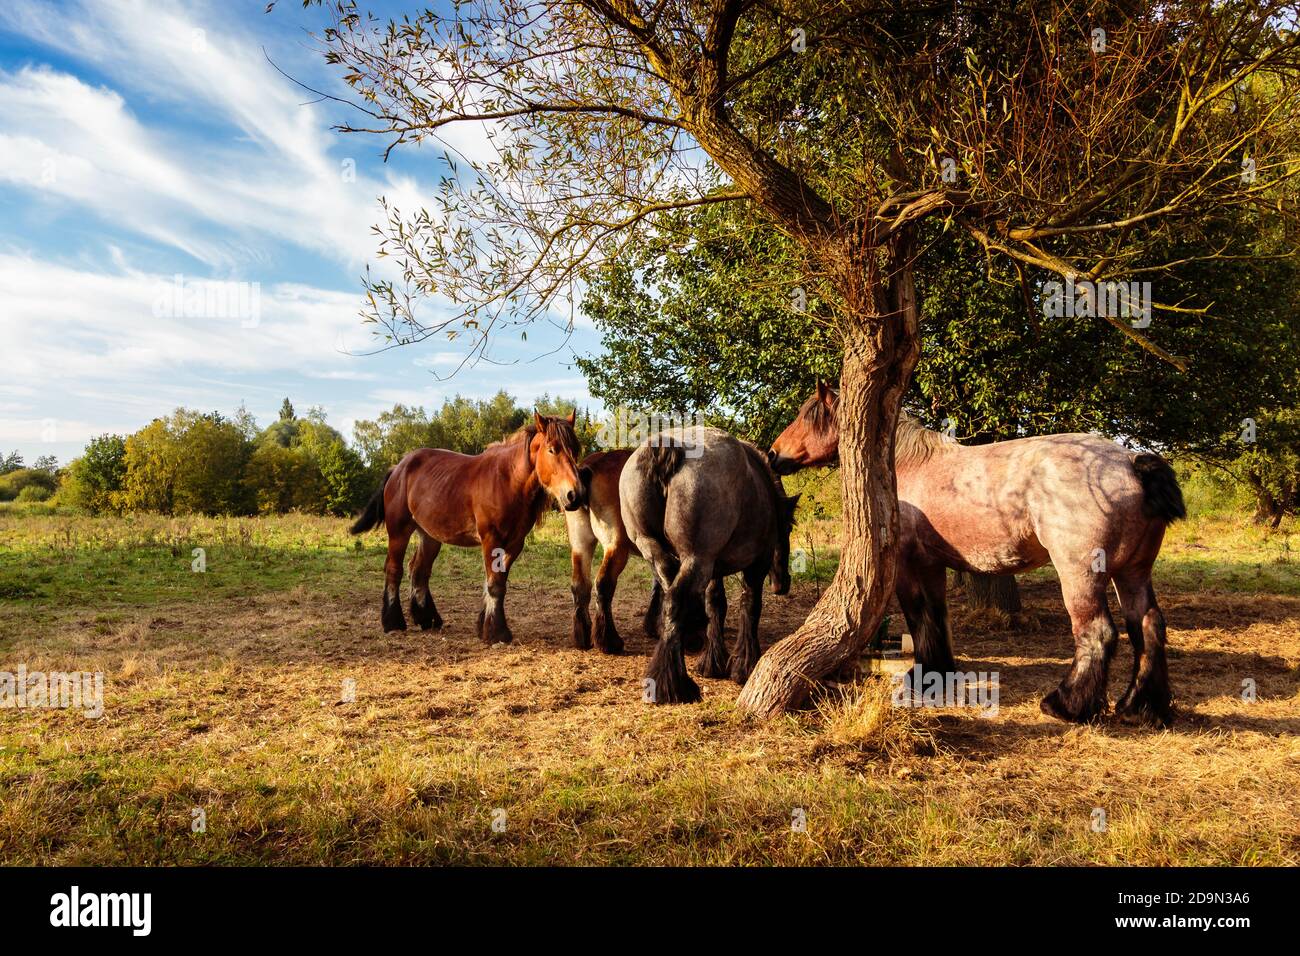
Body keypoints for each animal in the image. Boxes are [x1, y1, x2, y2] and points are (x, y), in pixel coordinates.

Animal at [348, 411, 587, 642]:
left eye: (575, 449)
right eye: (552, 449)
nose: (575, 495)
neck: (507, 481)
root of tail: (398, 468)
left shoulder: (514, 544)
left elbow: (497, 581)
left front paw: (484, 626)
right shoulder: (491, 539)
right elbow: (494, 584)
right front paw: (497, 632)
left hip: (429, 536)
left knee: (419, 570)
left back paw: (428, 619)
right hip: (399, 531)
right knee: (393, 569)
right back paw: (393, 622)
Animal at [616, 429, 790, 707]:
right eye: (789, 527)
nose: (783, 583)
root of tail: (668, 447)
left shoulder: (713, 570)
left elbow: (715, 604)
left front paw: (713, 662)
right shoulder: (757, 565)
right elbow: (750, 605)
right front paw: (745, 665)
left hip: (658, 550)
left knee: (670, 595)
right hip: (697, 559)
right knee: (676, 600)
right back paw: (672, 685)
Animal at [769, 385, 1190, 728]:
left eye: (809, 414)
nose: (773, 455)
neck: (904, 466)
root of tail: (1131, 463)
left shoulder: (908, 565)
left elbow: (918, 616)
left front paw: (922, 680)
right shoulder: (931, 565)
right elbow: (936, 618)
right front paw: (938, 675)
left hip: (1081, 575)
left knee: (1097, 632)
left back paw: (1065, 705)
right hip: (1132, 572)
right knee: (1148, 626)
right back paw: (1139, 708)